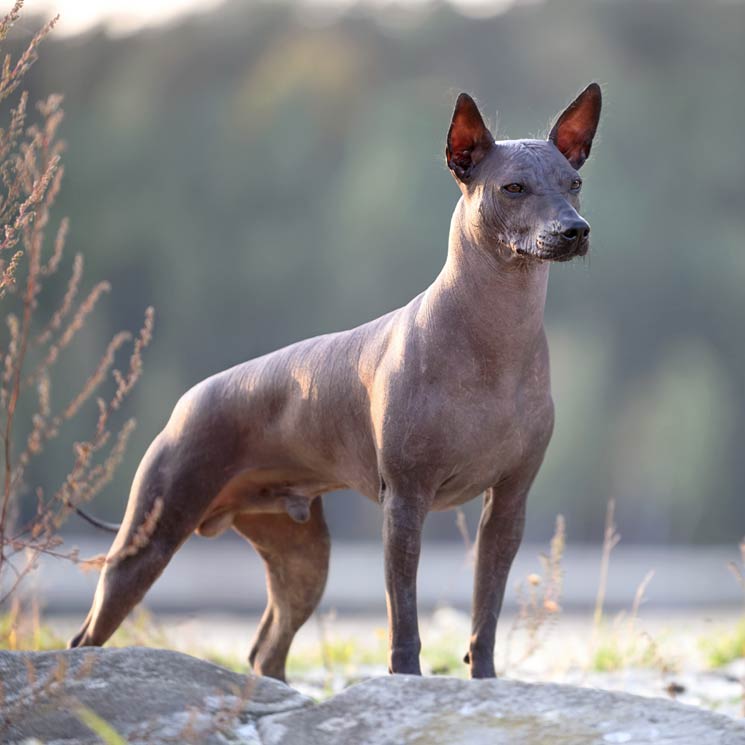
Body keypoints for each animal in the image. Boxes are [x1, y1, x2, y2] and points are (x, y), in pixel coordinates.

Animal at [70, 83, 600, 680]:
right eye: (513, 188)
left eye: (574, 184)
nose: (574, 230)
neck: (496, 339)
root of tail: (186, 402)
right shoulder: (405, 504)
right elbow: (403, 616)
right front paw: (407, 681)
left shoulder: (508, 506)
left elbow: (485, 611)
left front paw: (483, 682)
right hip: (150, 539)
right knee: (88, 636)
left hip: (302, 558)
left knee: (267, 648)